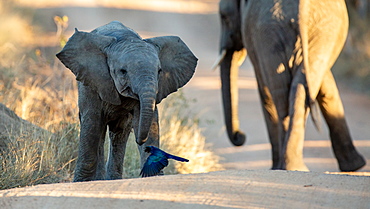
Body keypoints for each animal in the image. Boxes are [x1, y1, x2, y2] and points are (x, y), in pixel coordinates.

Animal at [55, 21, 197, 181]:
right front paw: (81, 182)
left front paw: (153, 175)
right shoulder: (91, 84)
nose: (140, 141)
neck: (125, 38)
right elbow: (92, 123)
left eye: (159, 71)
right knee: (99, 130)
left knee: (119, 134)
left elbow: (147, 121)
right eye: (123, 71)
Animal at [214, 0, 368, 171]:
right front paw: (355, 166)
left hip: (280, 31)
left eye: (224, 17)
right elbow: (324, 84)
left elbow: (264, 90)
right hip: (313, 30)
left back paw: (286, 166)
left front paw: (354, 166)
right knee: (293, 89)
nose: (240, 136)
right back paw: (293, 166)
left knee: (280, 93)